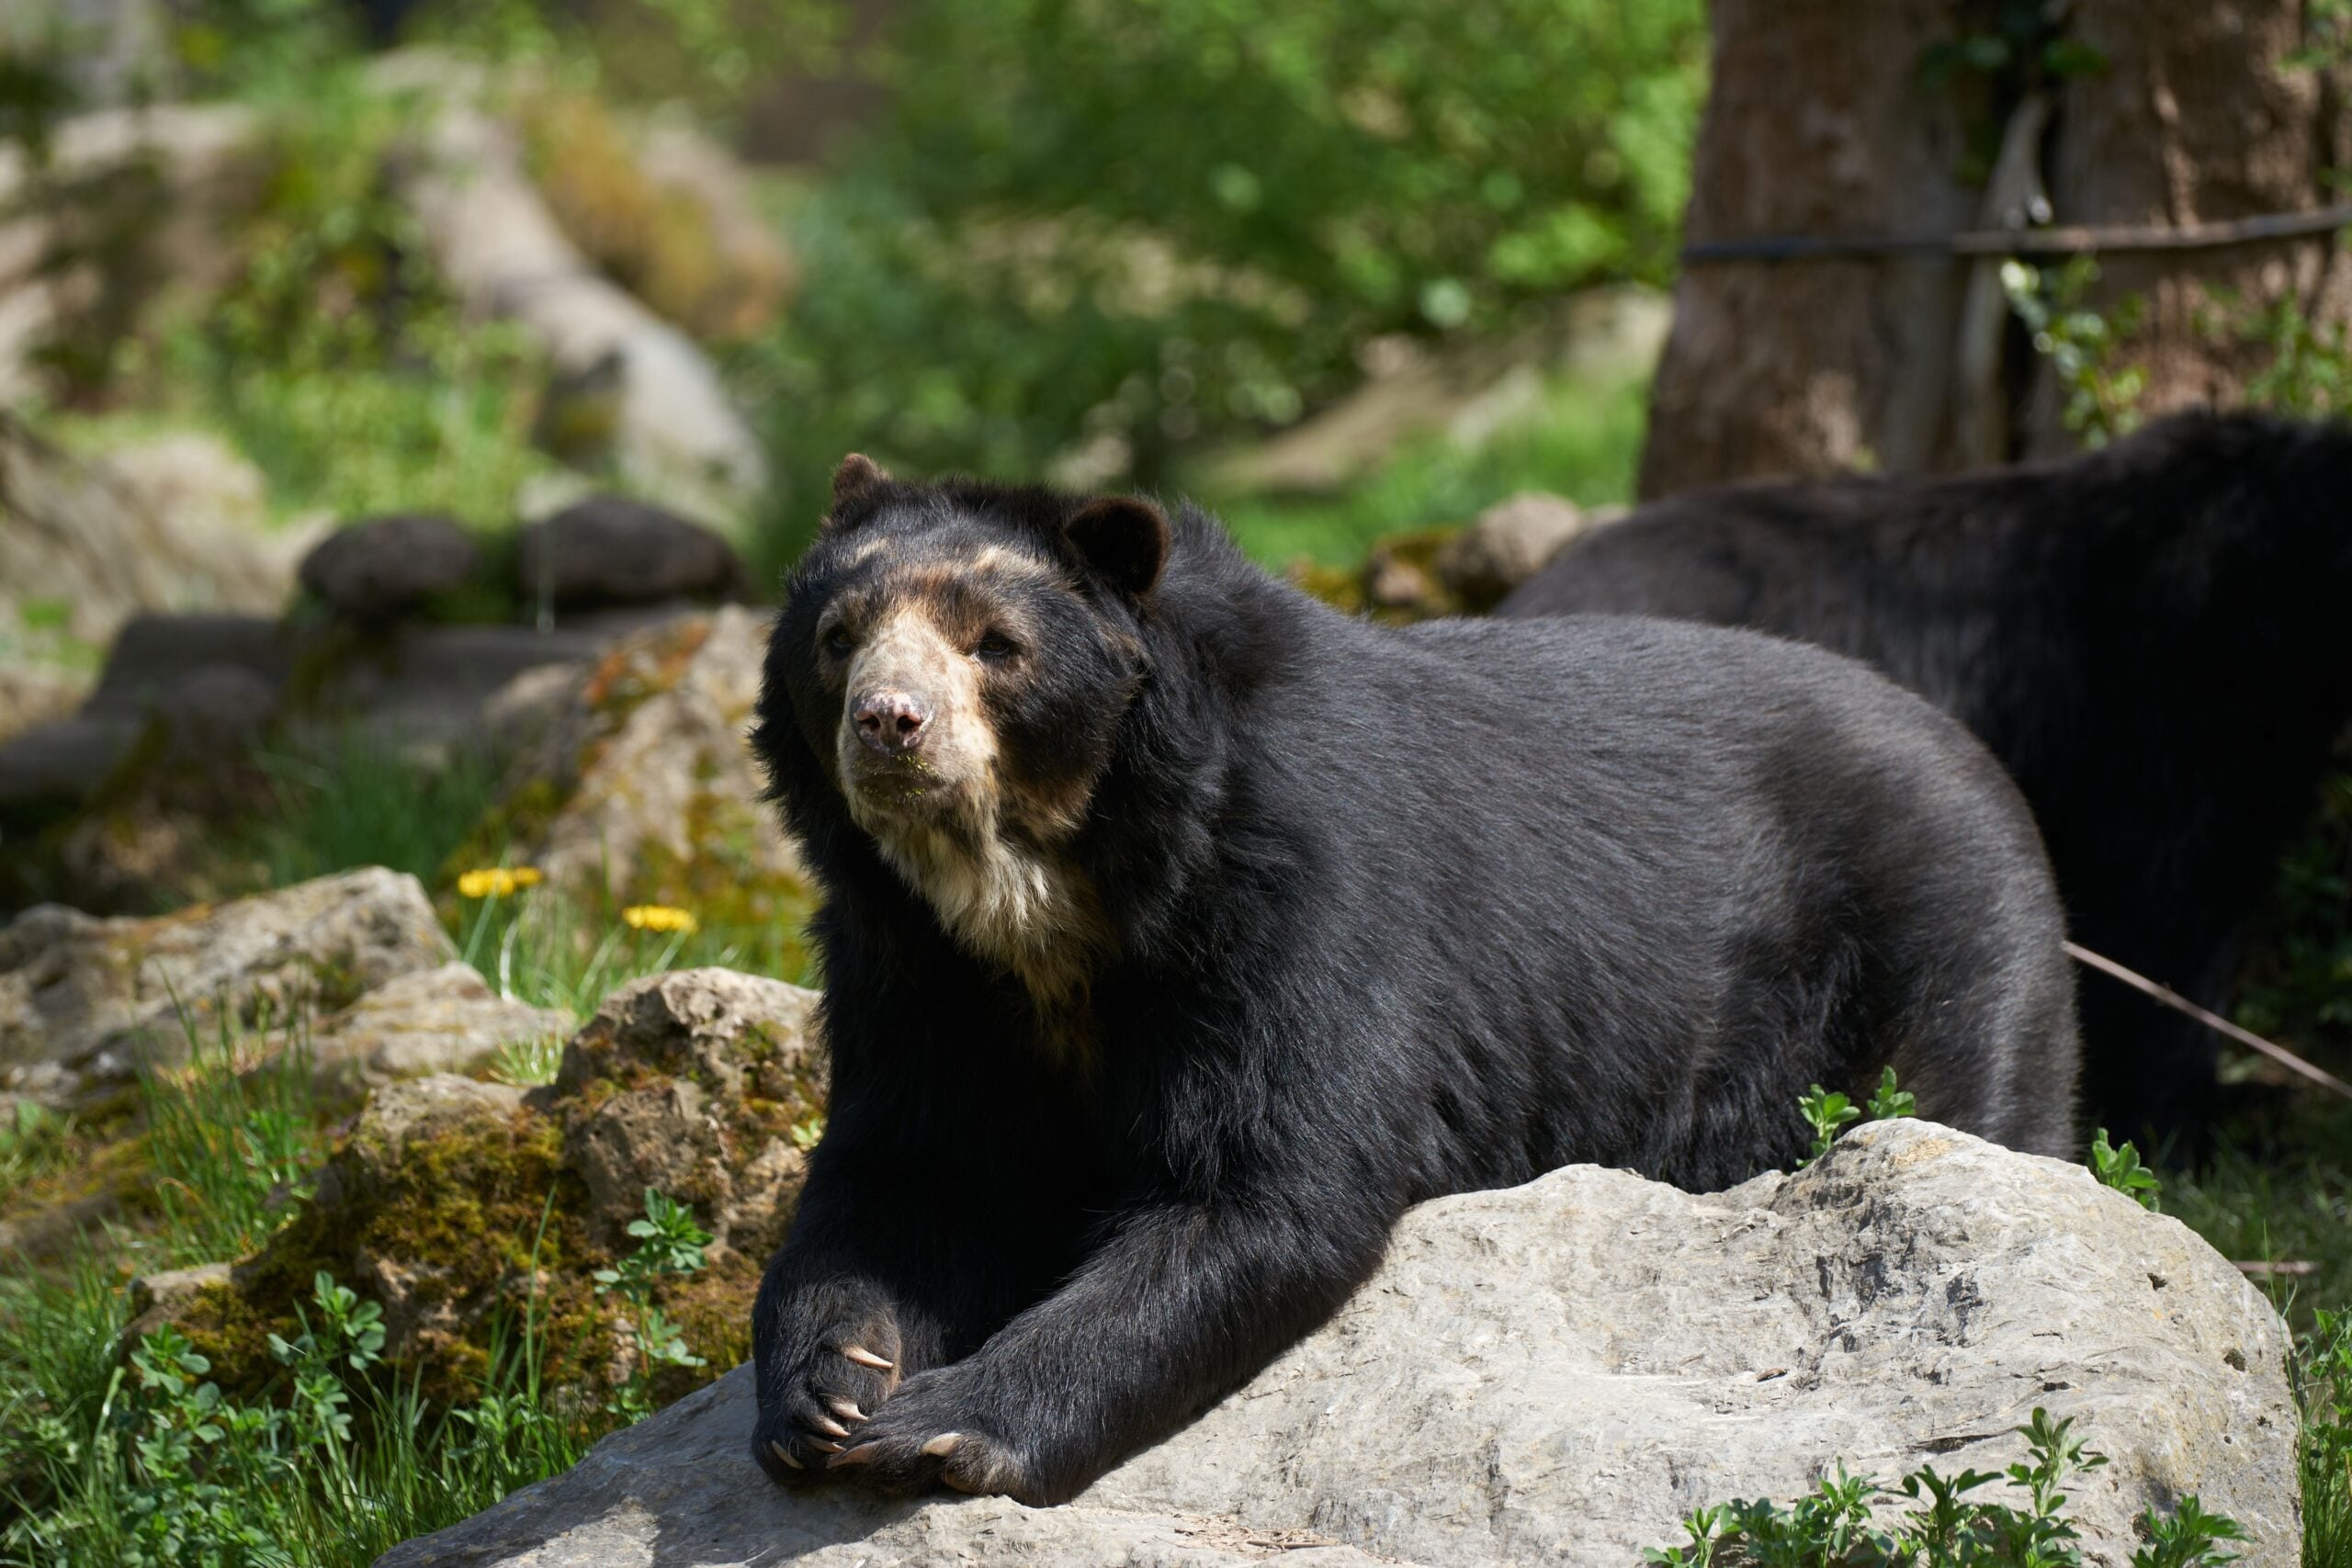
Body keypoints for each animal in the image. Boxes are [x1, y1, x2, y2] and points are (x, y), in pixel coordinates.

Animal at [746, 455, 2081, 1506]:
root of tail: (1975, 758)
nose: (889, 723)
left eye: (998, 646)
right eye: (838, 637)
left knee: (1960, 1107)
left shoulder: (1301, 882)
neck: (1040, 889)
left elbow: (1268, 1184)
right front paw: (828, 1391)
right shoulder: (912, 961)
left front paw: (940, 1425)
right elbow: (909, 1168)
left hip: (1935, 949)